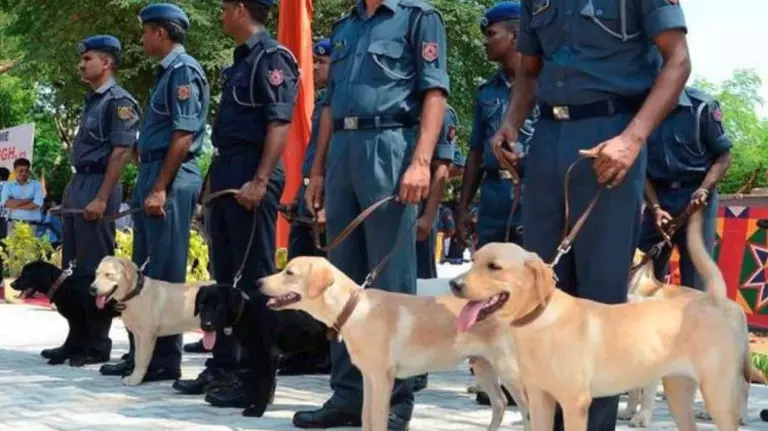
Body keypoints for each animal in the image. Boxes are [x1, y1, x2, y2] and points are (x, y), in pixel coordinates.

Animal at [91, 256, 207, 388]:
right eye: (96, 274)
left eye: (108, 275)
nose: (92, 289)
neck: (135, 294)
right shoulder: (137, 335)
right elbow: (137, 357)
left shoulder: (147, 335)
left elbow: (142, 359)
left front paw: (135, 379)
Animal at [258, 256, 528, 431]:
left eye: (289, 273)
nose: (258, 282)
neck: (356, 310)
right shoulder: (368, 378)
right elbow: (366, 418)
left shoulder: (382, 378)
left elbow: (378, 420)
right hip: (483, 366)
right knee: (500, 403)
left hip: (510, 371)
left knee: (526, 409)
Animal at [450, 208, 752, 428]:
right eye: (473, 261)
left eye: (494, 267)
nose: (453, 284)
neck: (540, 321)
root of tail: (714, 299)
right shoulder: (539, 399)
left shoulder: (574, 403)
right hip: (678, 392)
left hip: (718, 394)